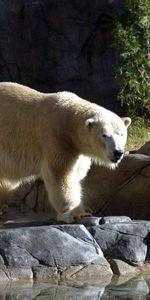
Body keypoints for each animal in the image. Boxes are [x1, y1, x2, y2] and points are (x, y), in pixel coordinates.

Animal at [0, 82, 130, 223]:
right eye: (104, 135)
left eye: (121, 134)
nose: (118, 152)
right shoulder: (56, 138)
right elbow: (61, 174)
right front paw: (77, 214)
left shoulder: (78, 151)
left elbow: (78, 173)